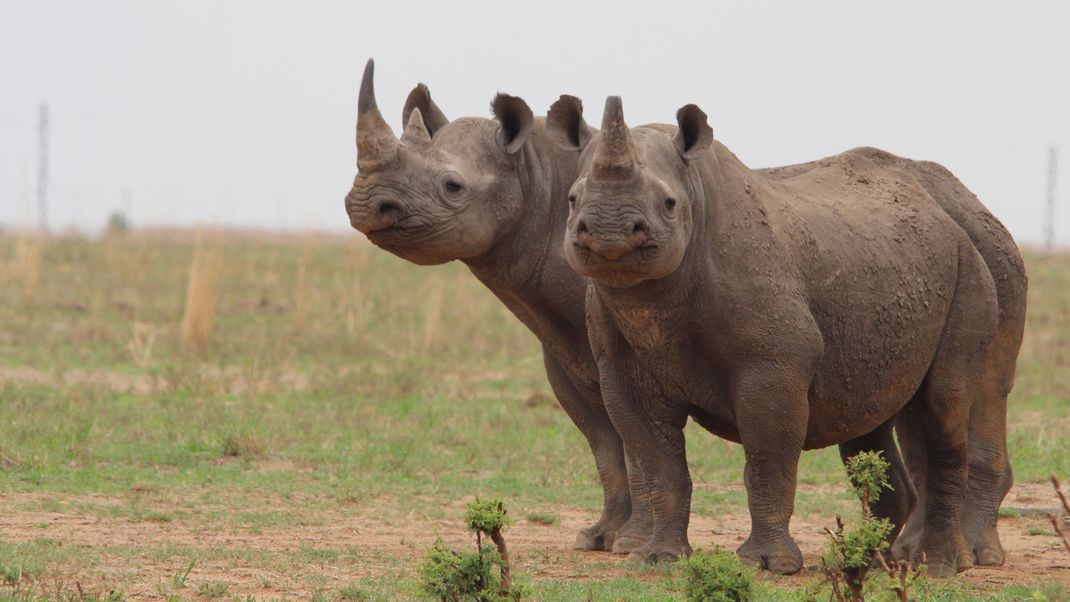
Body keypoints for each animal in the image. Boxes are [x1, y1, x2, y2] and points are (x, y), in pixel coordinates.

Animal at [556, 96, 1022, 577]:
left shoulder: (772, 365)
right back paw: (867, 561)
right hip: (892, 264)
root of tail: (955, 218)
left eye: (668, 203)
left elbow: (767, 459)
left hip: (970, 271)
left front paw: (767, 564)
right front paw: (659, 559)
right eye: (571, 199)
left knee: (943, 407)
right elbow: (657, 462)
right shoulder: (622, 372)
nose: (609, 232)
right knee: (869, 420)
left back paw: (936, 566)